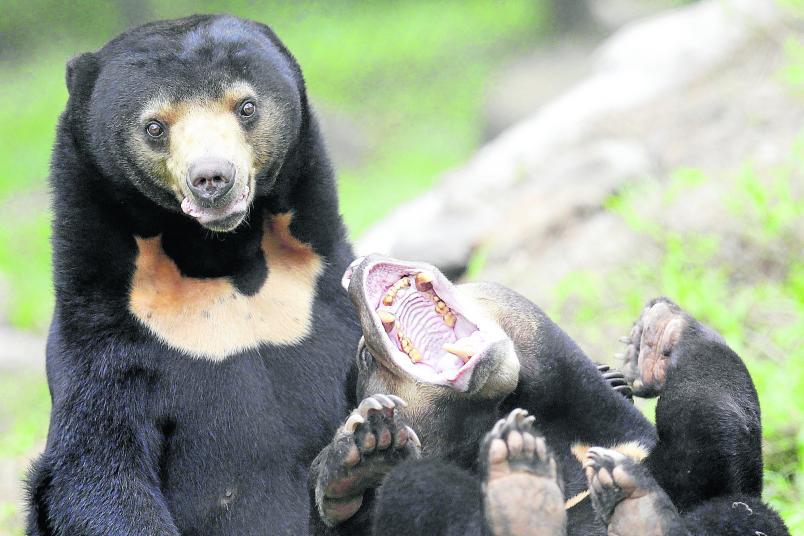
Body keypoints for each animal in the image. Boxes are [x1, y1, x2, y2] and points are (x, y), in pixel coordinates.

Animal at [25, 15, 363, 535]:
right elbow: (95, 471)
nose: (212, 179)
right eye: (154, 126)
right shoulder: (105, 339)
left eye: (246, 107)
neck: (222, 261)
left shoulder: (329, 300)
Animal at [308, 255, 788, 535]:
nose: (353, 268)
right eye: (365, 357)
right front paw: (366, 452)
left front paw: (660, 333)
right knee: (420, 484)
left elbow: (715, 449)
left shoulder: (637, 445)